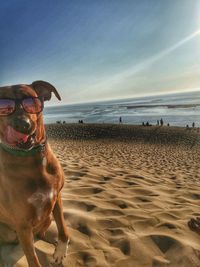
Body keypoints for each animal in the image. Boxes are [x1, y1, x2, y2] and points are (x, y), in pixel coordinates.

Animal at [0, 81, 69, 267]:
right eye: (4, 107)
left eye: (31, 102)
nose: (22, 124)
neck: (32, 157)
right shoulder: (23, 225)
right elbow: (32, 259)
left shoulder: (57, 197)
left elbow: (64, 229)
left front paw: (61, 250)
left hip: (47, 219)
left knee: (42, 233)